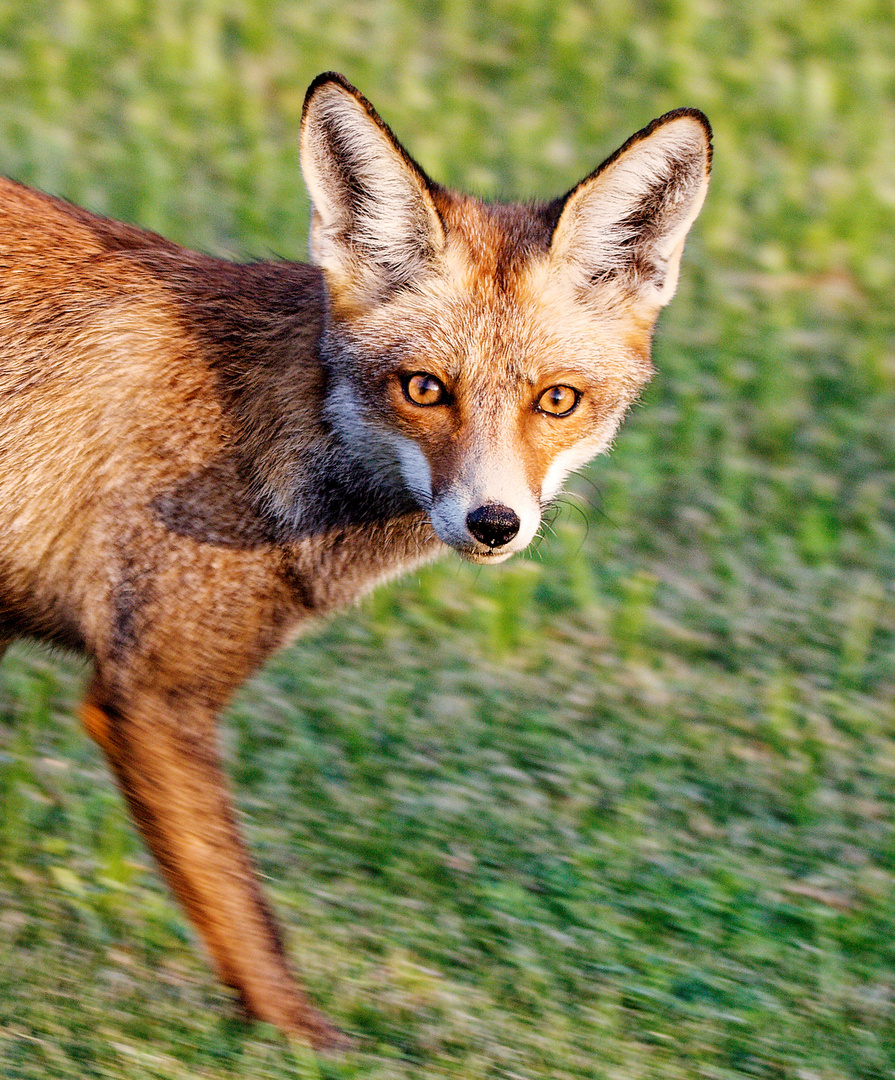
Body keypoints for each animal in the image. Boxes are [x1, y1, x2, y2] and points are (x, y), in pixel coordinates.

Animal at [1, 73, 712, 1045]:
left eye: (556, 401)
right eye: (424, 389)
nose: (493, 523)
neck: (249, 431)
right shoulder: (151, 693)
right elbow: (249, 923)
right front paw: (308, 1049)